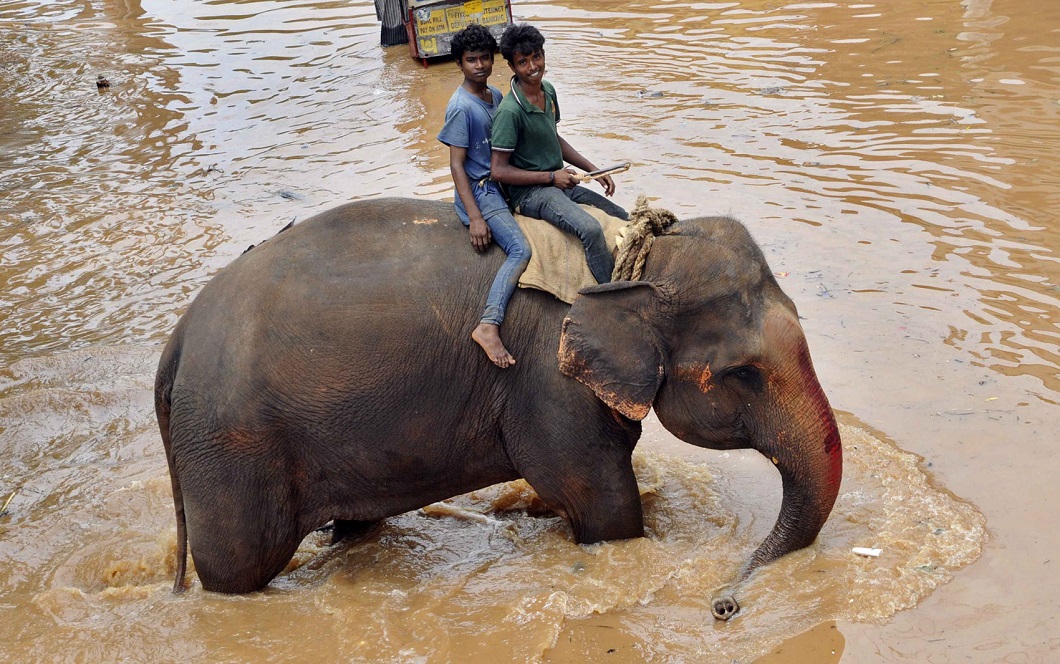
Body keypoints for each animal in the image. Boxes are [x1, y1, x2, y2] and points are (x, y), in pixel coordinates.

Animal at [153, 194, 839, 619]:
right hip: (231, 446)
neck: (631, 261)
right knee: (238, 568)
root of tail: (178, 341)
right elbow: (603, 503)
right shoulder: (546, 381)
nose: (725, 602)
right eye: (744, 374)